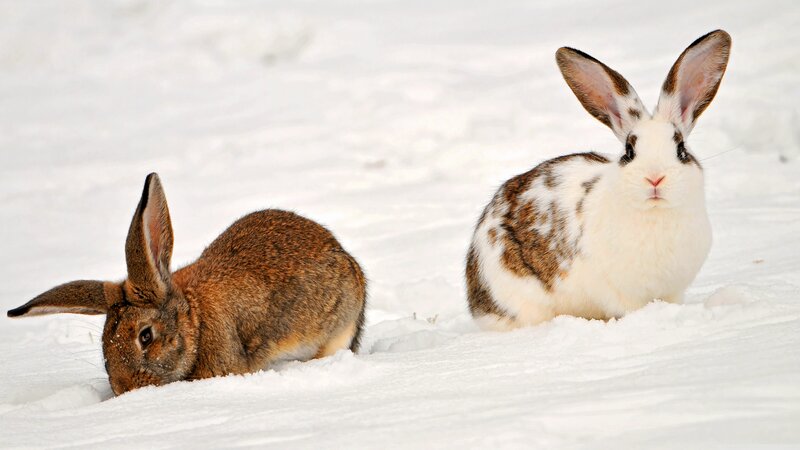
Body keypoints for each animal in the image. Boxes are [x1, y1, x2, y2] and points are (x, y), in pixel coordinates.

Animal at [466, 30, 731, 330]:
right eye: (629, 151)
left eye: (681, 149)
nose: (654, 179)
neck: (656, 214)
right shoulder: (621, 293)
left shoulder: (673, 290)